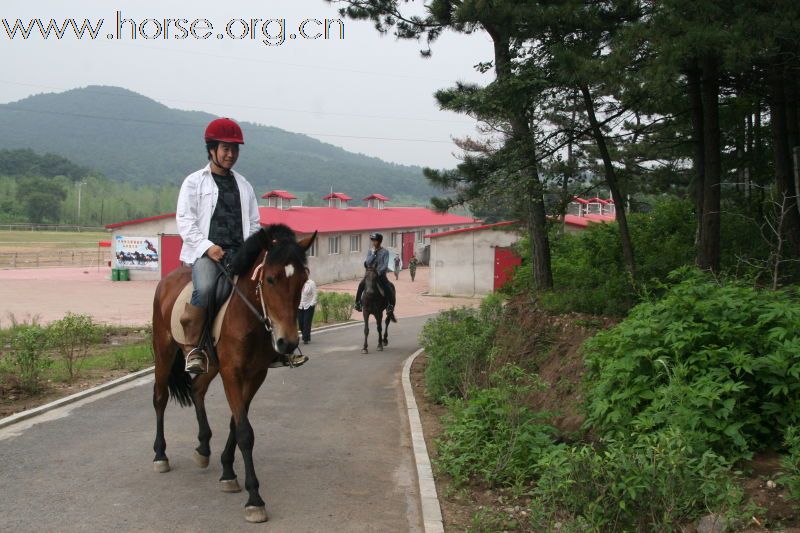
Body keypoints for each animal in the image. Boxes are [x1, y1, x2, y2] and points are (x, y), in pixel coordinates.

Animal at [150, 222, 316, 520]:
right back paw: (160, 455)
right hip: (164, 351)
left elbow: (235, 423)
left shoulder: (255, 375)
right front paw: (254, 499)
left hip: (211, 363)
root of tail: (167, 280)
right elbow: (245, 433)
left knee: (197, 389)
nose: (287, 343)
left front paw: (227, 471)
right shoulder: (232, 373)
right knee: (160, 398)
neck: (248, 317)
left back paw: (203, 448)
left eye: (302, 281)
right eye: (270, 279)